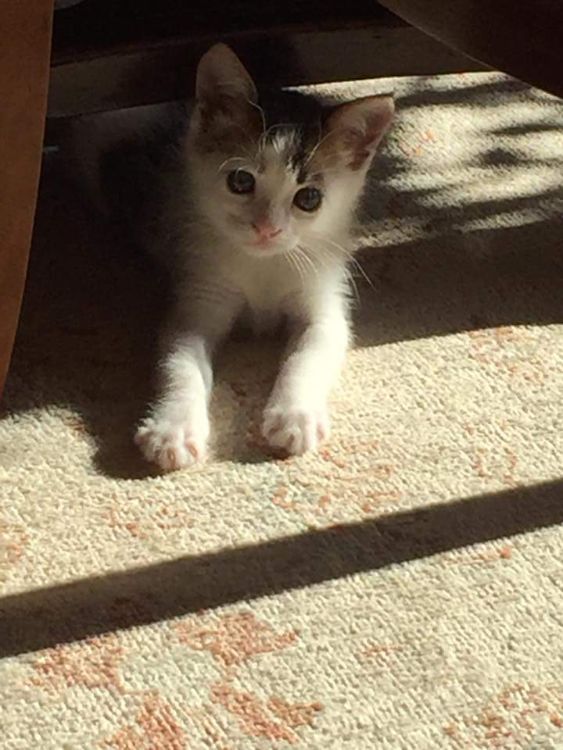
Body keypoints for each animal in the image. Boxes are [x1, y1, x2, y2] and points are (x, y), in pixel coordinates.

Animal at [87, 42, 392, 470]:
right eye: (241, 181)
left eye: (309, 199)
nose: (266, 228)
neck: (263, 263)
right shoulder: (199, 296)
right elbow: (178, 363)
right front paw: (173, 429)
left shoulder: (324, 297)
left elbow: (312, 351)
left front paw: (295, 415)